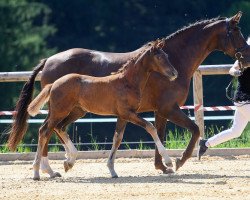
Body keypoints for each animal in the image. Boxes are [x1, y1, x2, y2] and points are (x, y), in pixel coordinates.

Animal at [27, 40, 178, 180]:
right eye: (159, 57)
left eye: (166, 55)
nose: (174, 73)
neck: (127, 82)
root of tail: (53, 84)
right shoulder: (128, 113)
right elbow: (151, 127)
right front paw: (168, 162)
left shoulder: (122, 116)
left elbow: (117, 138)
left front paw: (112, 170)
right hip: (59, 111)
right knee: (45, 131)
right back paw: (37, 172)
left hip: (76, 111)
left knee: (58, 128)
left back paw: (67, 163)